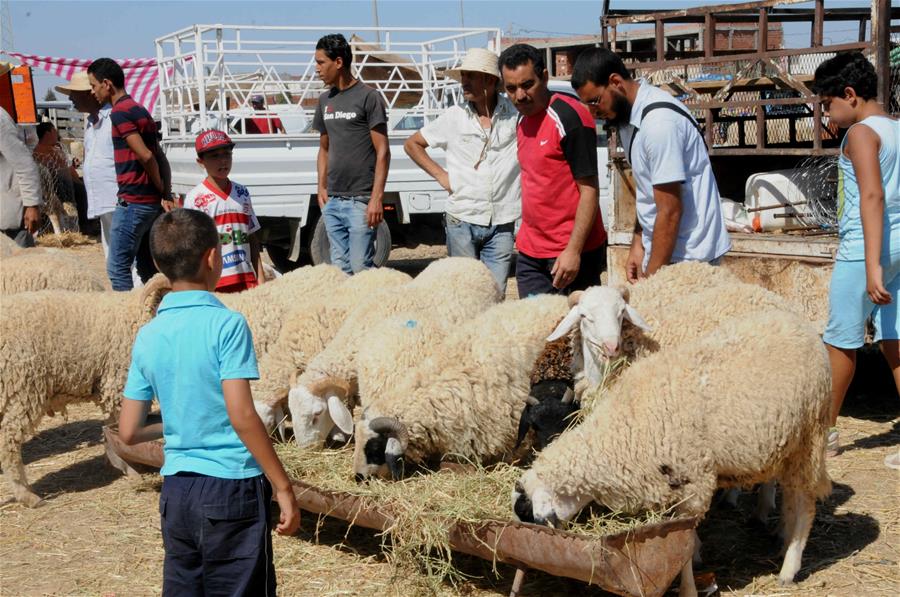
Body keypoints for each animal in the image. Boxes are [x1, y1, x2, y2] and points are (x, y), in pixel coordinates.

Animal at [0, 278, 170, 506]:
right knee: (8, 442)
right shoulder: (120, 383)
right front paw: (130, 469)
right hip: (21, 391)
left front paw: (114, 461)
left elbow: (110, 428)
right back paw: (27, 494)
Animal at [510, 310, 832, 588]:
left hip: (810, 436)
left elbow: (685, 531)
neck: (615, 437)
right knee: (790, 494)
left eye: (527, 508)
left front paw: (693, 559)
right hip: (787, 445)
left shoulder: (693, 479)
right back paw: (781, 538)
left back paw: (789, 566)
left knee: (805, 503)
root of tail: (800, 326)